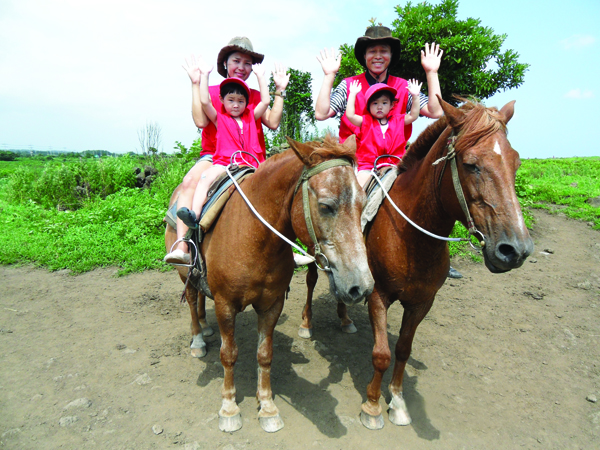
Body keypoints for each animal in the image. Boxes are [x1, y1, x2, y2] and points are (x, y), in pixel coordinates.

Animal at [162, 136, 372, 432]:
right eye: (326, 206)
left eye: (363, 203)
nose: (360, 286)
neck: (254, 236)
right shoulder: (226, 305)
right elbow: (229, 354)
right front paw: (229, 408)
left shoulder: (272, 305)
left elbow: (264, 354)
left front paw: (268, 406)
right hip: (184, 273)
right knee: (192, 301)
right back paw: (198, 340)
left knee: (201, 299)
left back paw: (205, 326)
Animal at [300, 98, 536, 428]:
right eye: (471, 164)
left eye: (515, 163)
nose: (515, 249)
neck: (412, 238)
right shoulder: (379, 295)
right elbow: (382, 354)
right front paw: (372, 406)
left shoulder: (422, 302)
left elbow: (402, 349)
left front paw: (398, 401)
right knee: (311, 282)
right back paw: (306, 324)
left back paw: (345, 320)